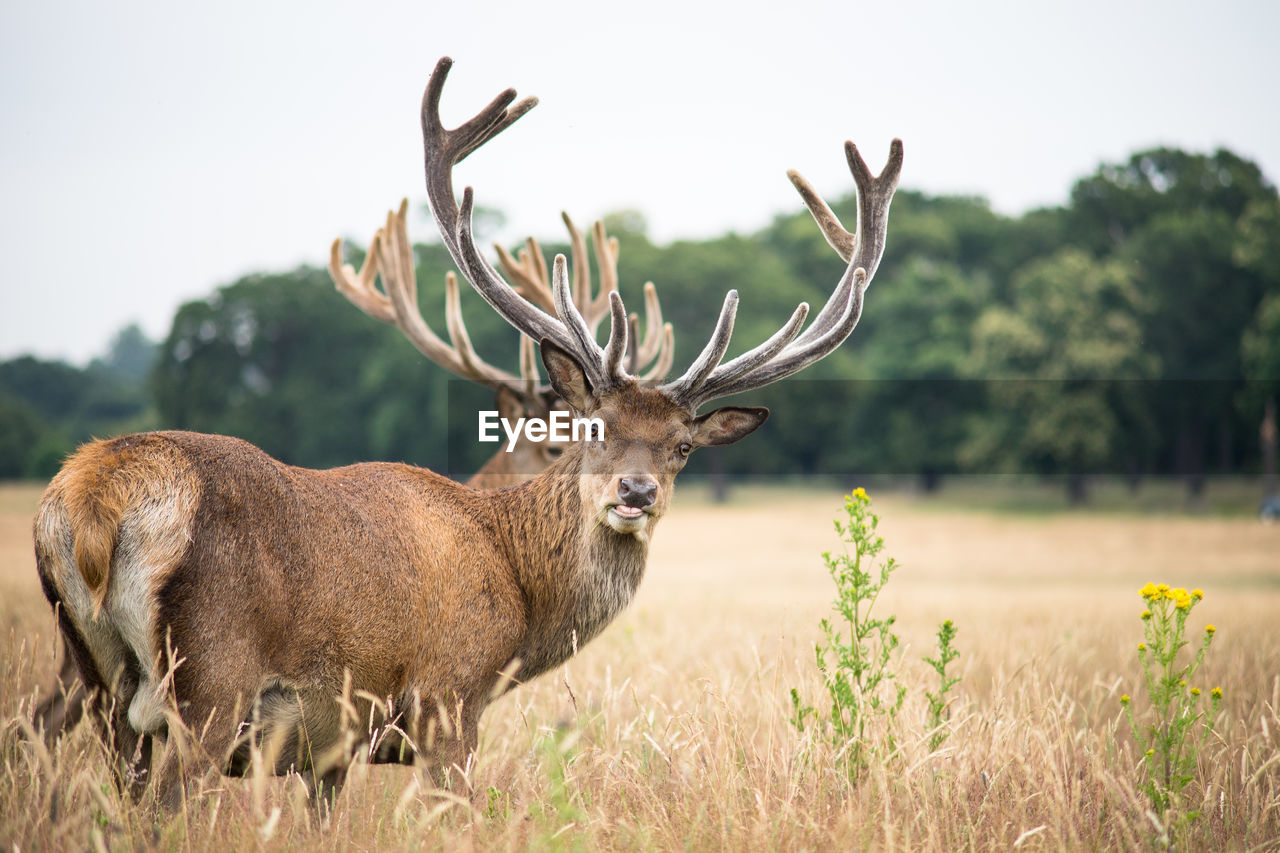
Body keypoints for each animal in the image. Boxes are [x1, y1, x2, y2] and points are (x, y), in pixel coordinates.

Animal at [35, 56, 906, 809]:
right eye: (590, 428)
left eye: (683, 447)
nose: (635, 491)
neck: (515, 587)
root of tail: (90, 495)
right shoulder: (447, 697)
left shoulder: (327, 748)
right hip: (210, 675)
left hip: (102, 679)